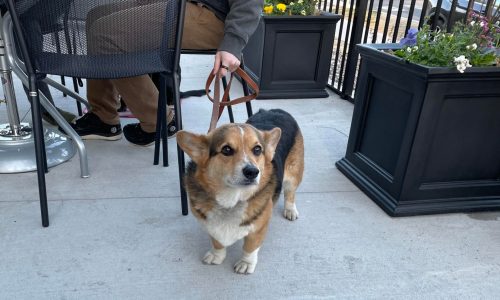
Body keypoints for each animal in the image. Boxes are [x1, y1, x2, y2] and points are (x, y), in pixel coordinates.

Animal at [177, 109, 304, 274]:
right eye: (226, 150)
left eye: (257, 150)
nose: (252, 172)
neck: (231, 200)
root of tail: (276, 110)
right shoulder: (211, 226)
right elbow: (217, 242)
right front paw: (216, 255)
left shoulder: (259, 228)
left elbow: (250, 247)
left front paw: (246, 263)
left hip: (294, 174)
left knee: (290, 193)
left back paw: (290, 210)